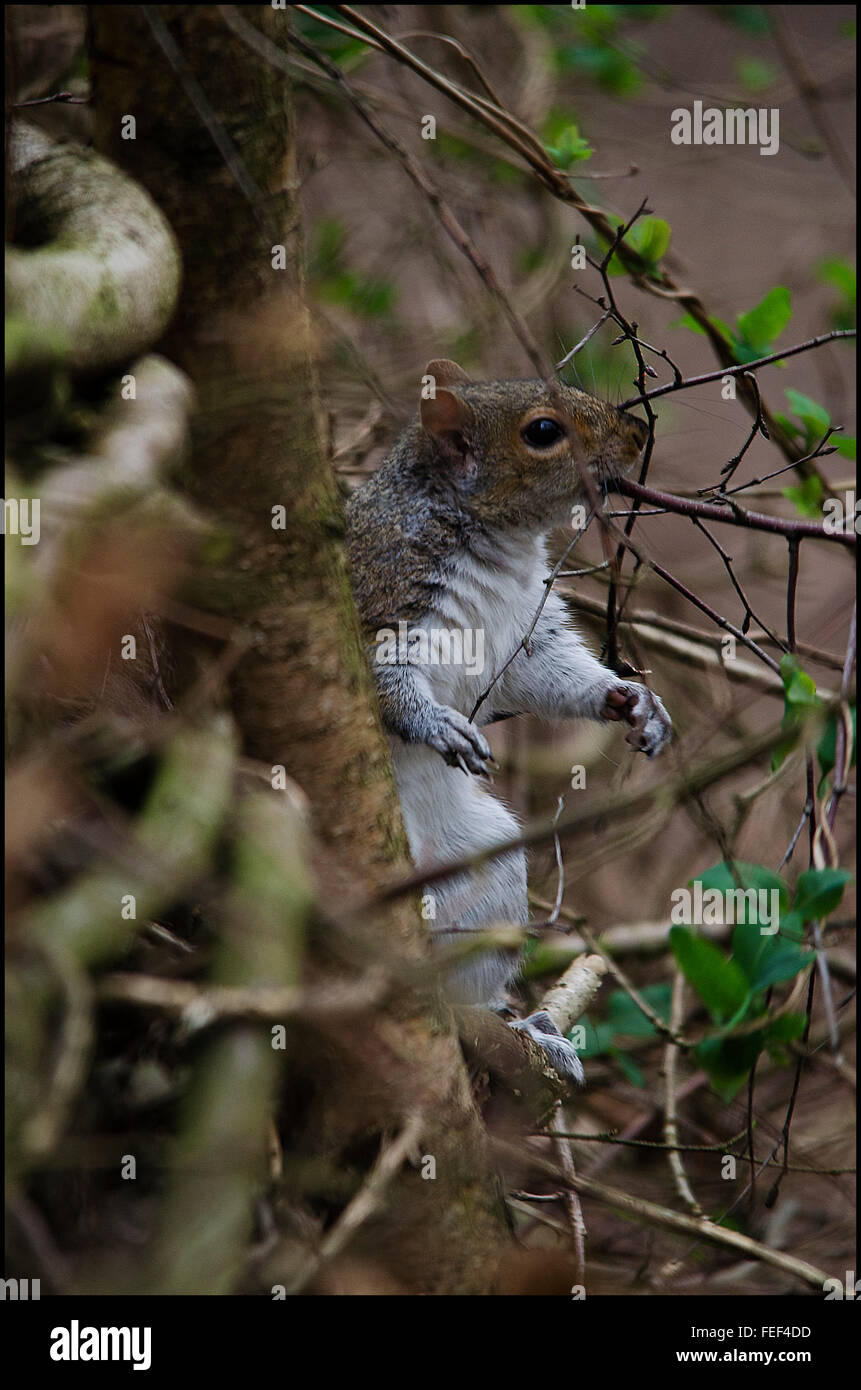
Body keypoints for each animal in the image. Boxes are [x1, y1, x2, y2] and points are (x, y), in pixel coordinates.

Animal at [344, 364, 673, 1078]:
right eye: (543, 432)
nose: (638, 432)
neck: (497, 543)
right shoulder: (385, 594)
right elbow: (385, 679)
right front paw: (435, 724)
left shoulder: (524, 630)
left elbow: (550, 672)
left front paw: (630, 701)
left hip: (486, 870)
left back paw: (526, 1031)